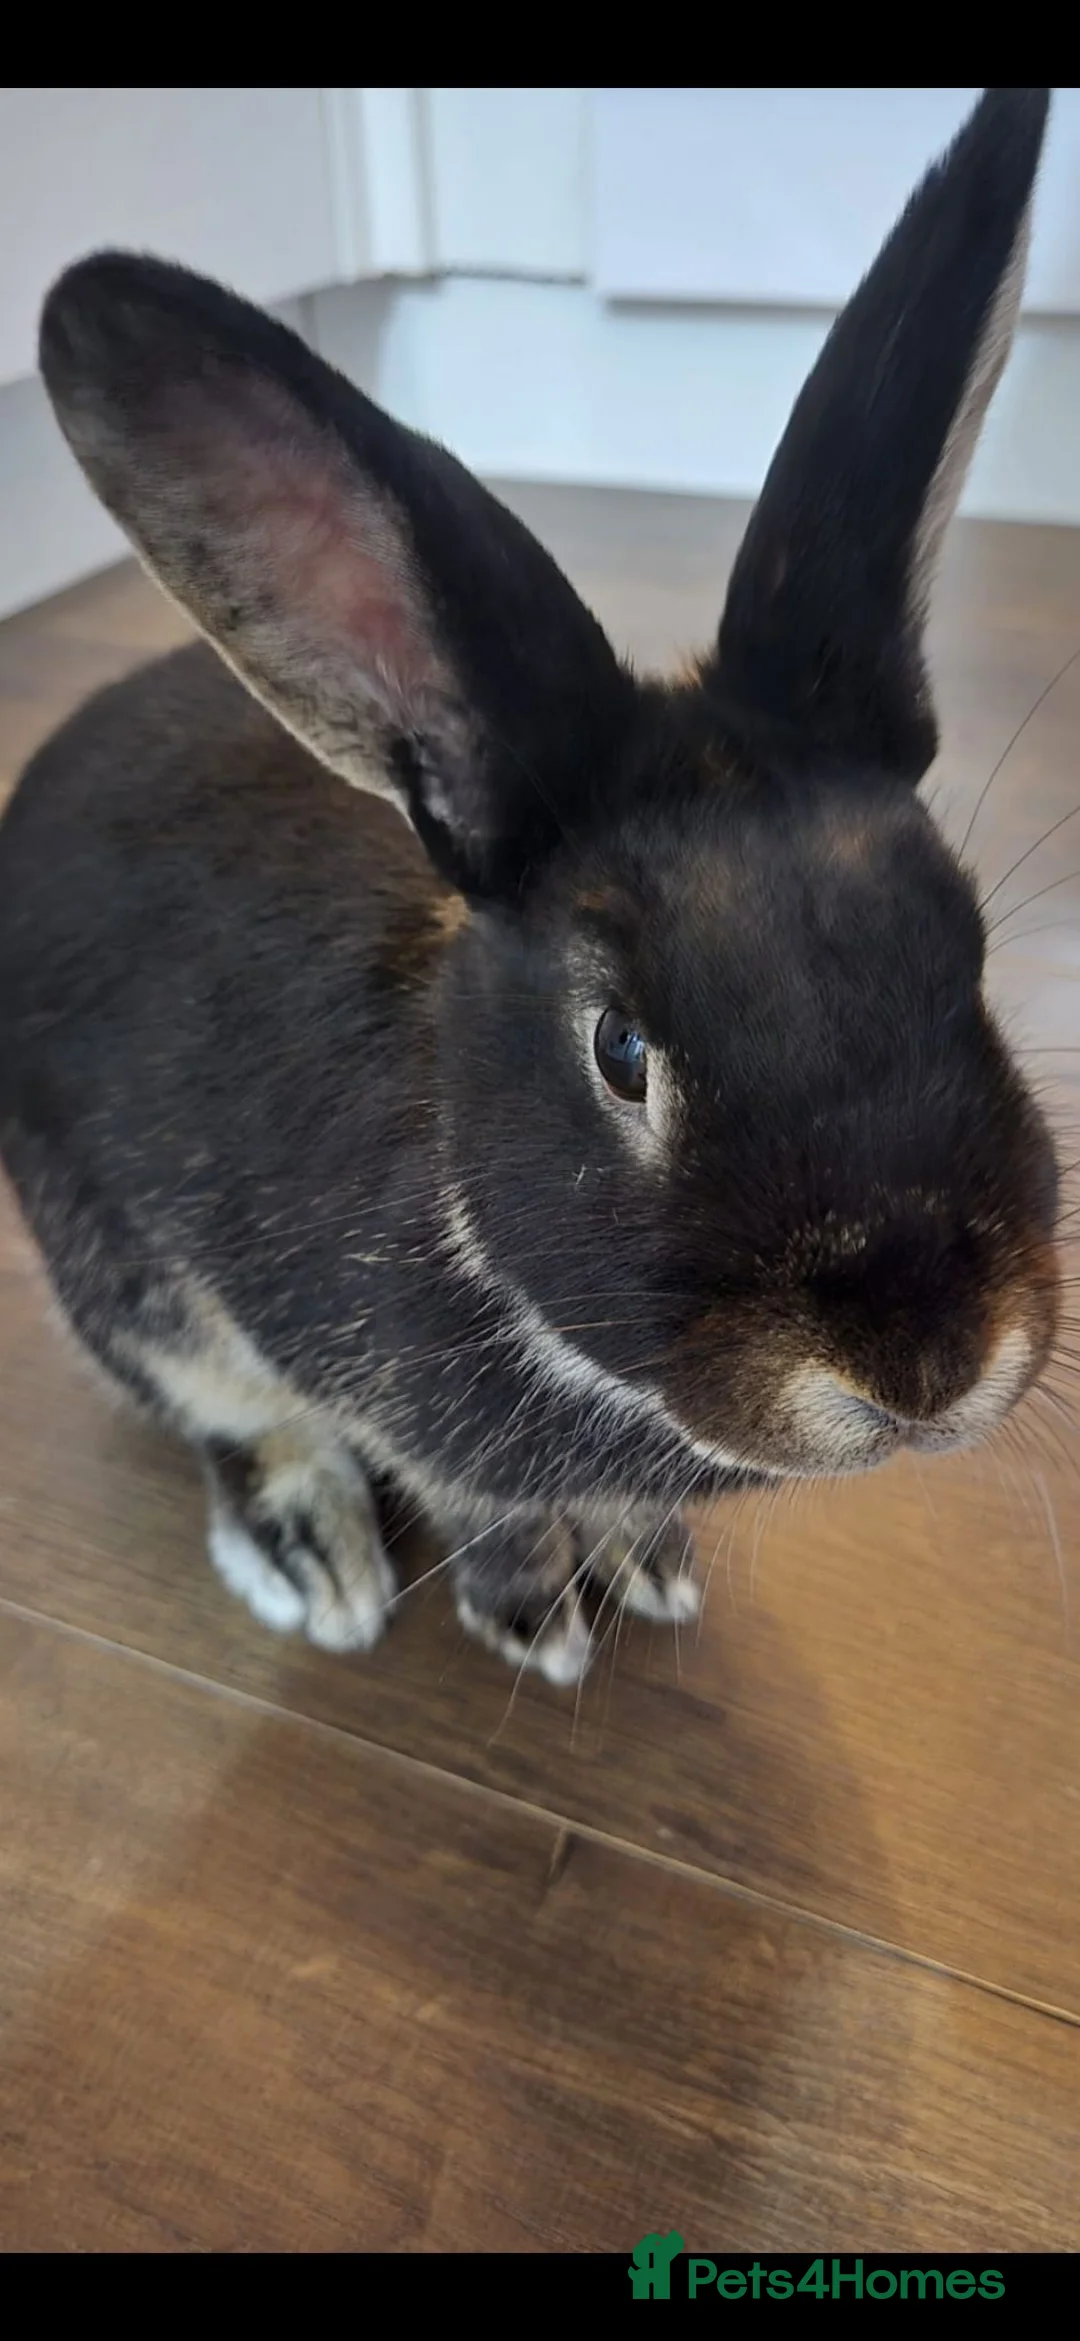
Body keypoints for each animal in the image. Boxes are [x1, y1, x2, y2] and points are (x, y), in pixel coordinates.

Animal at [0, 88, 1062, 1687]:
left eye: (969, 954)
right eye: (621, 1051)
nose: (922, 1362)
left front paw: (645, 1560)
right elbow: (472, 1499)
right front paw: (539, 1619)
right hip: (118, 1274)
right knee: (224, 1424)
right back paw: (313, 1553)